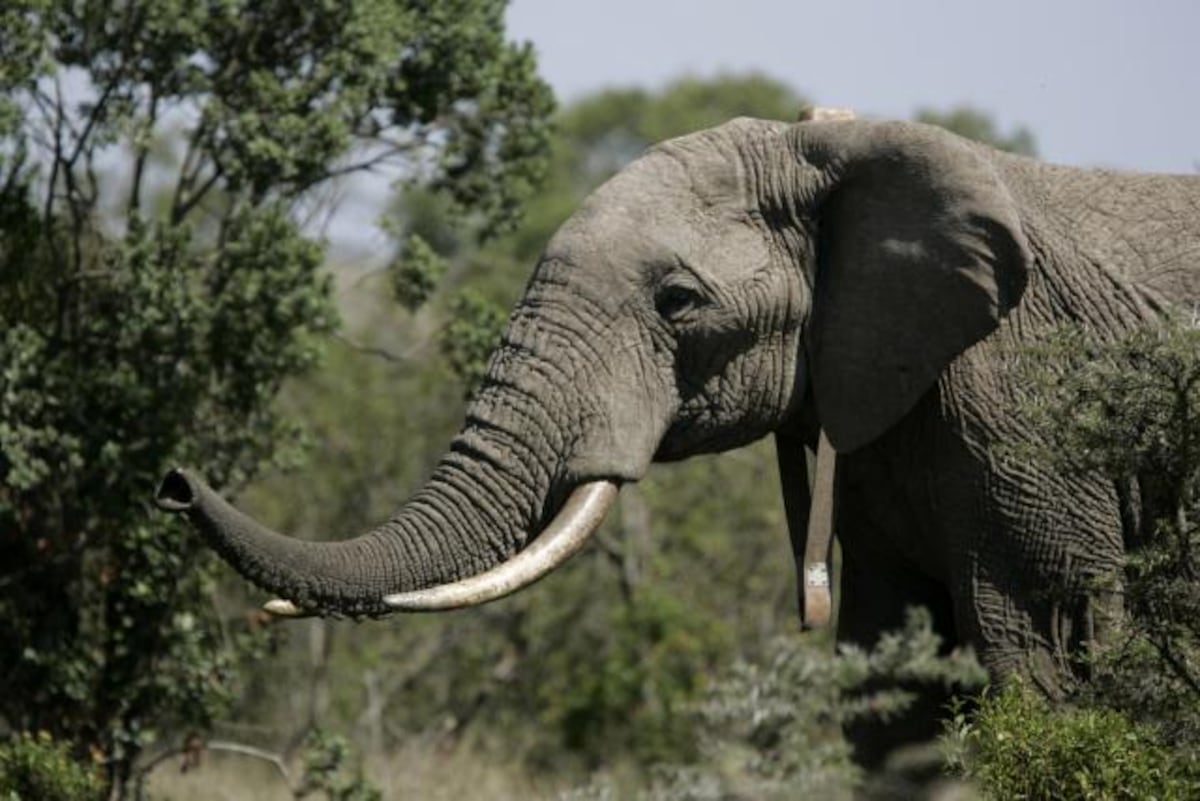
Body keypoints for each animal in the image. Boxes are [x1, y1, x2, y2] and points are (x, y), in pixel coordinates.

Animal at [156, 111, 1200, 762]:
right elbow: (892, 696)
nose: (173, 480)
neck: (826, 145)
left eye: (678, 302)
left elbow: (1042, 669)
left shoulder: (1026, 407)